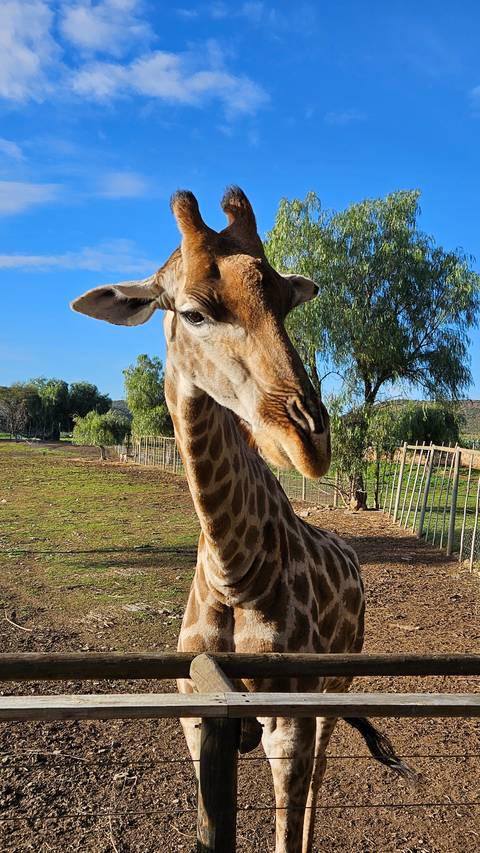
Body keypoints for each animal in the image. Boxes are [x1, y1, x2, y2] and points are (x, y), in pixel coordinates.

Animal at [72, 187, 412, 853]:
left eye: (285, 302)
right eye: (194, 312)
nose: (310, 441)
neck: (236, 569)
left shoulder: (288, 725)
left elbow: (287, 825)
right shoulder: (197, 718)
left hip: (336, 689)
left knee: (319, 782)